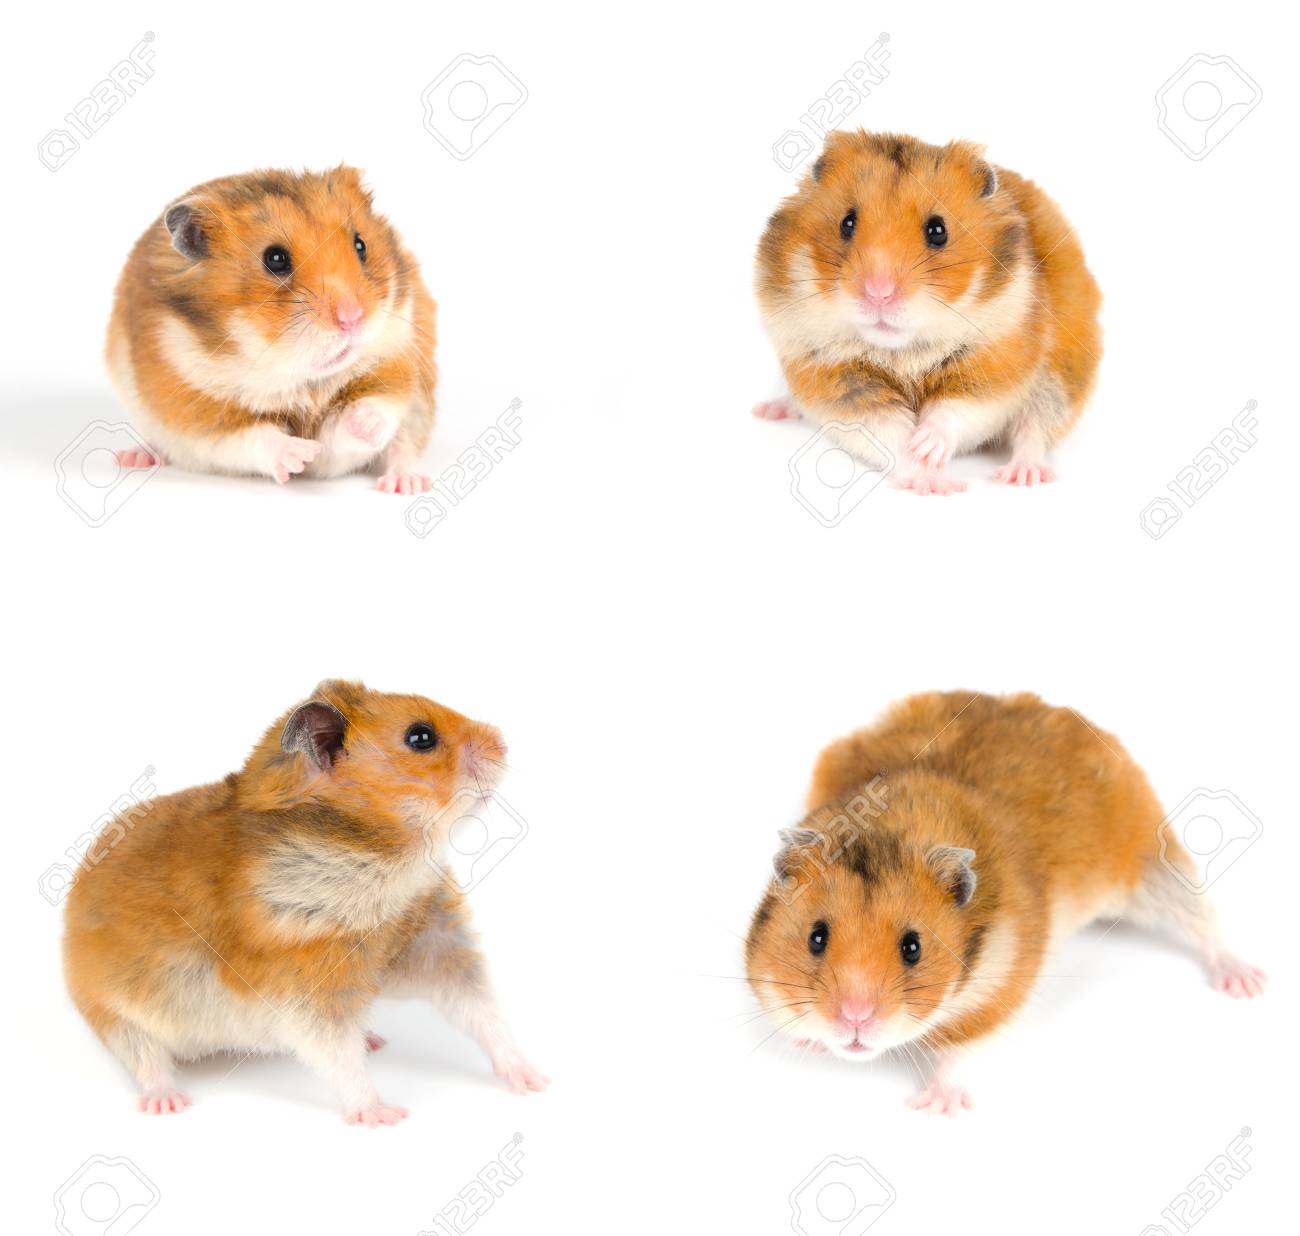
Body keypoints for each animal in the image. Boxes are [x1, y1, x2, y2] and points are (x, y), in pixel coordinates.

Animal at [63, 680, 547, 1125]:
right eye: (421, 737)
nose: (504, 742)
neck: (386, 860)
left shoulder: (434, 941)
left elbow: (481, 1011)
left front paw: (533, 1080)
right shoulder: (306, 988)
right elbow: (337, 1055)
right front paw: (382, 1114)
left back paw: (374, 1039)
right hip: (114, 1014)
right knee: (146, 1058)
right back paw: (167, 1102)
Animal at [105, 167, 438, 494]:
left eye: (361, 245)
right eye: (275, 259)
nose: (352, 318)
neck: (300, 379)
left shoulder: (396, 359)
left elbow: (367, 413)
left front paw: (361, 425)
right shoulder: (195, 412)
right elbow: (251, 437)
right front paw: (303, 454)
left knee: (402, 447)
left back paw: (407, 484)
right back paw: (133, 457)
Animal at [745, 692, 1264, 1115]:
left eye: (913, 948)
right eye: (816, 938)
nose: (853, 1020)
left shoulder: (1002, 987)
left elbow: (961, 1048)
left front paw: (936, 1108)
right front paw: (808, 1042)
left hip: (1155, 868)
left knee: (1204, 925)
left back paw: (1246, 983)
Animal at [754, 131, 1101, 493]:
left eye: (938, 231)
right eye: (846, 223)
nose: (879, 293)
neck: (903, 351)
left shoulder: (994, 366)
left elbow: (955, 411)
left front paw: (925, 447)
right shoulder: (835, 378)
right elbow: (886, 430)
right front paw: (931, 480)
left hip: (1059, 379)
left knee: (1034, 431)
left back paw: (1022, 476)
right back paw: (770, 410)